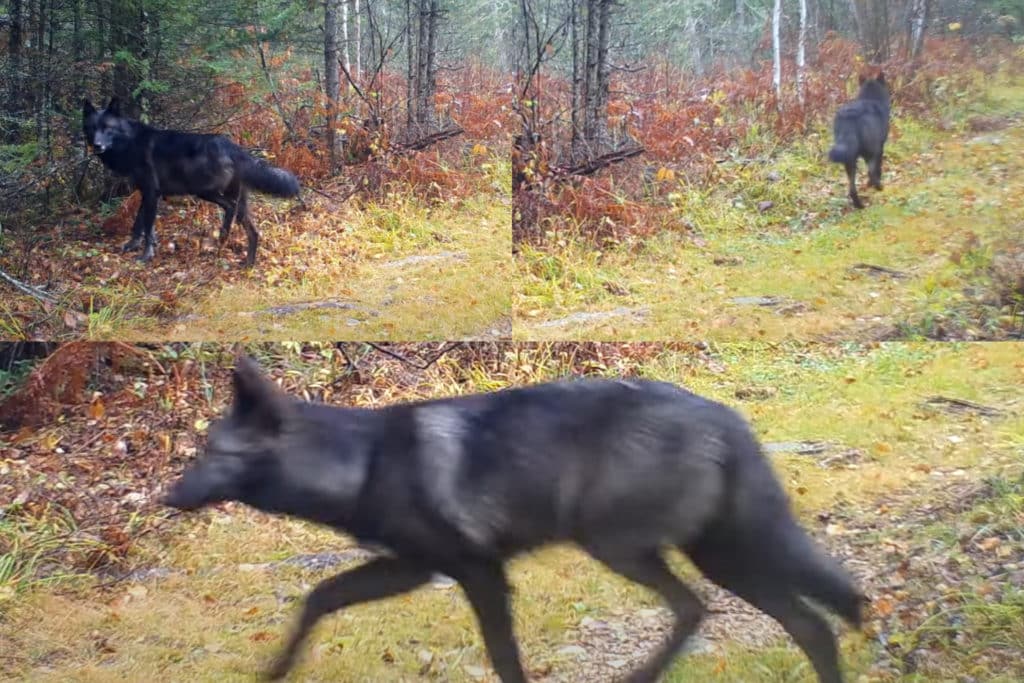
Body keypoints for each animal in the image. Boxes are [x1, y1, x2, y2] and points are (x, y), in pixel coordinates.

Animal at [82, 98, 301, 267]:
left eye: (107, 128)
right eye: (92, 128)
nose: (97, 145)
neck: (129, 141)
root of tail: (232, 147)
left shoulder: (151, 192)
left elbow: (148, 227)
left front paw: (146, 255)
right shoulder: (147, 192)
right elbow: (139, 223)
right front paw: (132, 245)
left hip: (204, 191)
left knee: (236, 213)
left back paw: (235, 250)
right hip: (221, 196)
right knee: (248, 225)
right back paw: (238, 253)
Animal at [164, 357, 865, 683]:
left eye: (208, 455)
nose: (165, 498)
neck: (363, 463)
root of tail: (724, 416)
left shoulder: (478, 573)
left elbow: (504, 658)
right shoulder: (410, 570)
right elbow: (319, 596)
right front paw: (277, 668)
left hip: (635, 550)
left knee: (732, 611)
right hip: (712, 553)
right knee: (796, 621)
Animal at [828, 72, 891, 209]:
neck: (871, 97)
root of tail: (849, 117)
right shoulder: (880, 148)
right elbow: (878, 168)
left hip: (849, 158)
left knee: (852, 187)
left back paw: (859, 205)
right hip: (870, 152)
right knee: (871, 172)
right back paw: (879, 188)